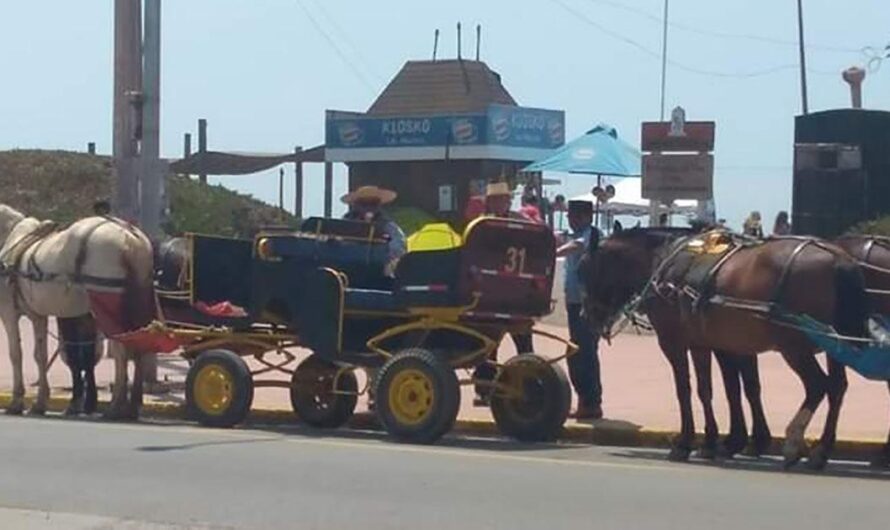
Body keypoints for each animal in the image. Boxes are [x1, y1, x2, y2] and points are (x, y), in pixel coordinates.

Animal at [0, 204, 154, 418]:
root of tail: (130, 237)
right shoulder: (38, 315)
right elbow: (41, 355)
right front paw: (40, 402)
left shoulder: (8, 312)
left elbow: (16, 354)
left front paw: (16, 402)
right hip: (138, 305)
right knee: (139, 346)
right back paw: (132, 406)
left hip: (110, 307)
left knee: (121, 351)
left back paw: (116, 404)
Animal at [580, 229, 864, 468]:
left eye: (586, 268)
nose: (586, 315)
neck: (664, 264)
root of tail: (838, 259)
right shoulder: (708, 343)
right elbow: (717, 389)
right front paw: (719, 441)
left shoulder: (675, 342)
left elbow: (686, 390)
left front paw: (686, 442)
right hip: (834, 346)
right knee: (837, 388)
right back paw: (821, 450)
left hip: (794, 346)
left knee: (817, 385)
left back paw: (794, 442)